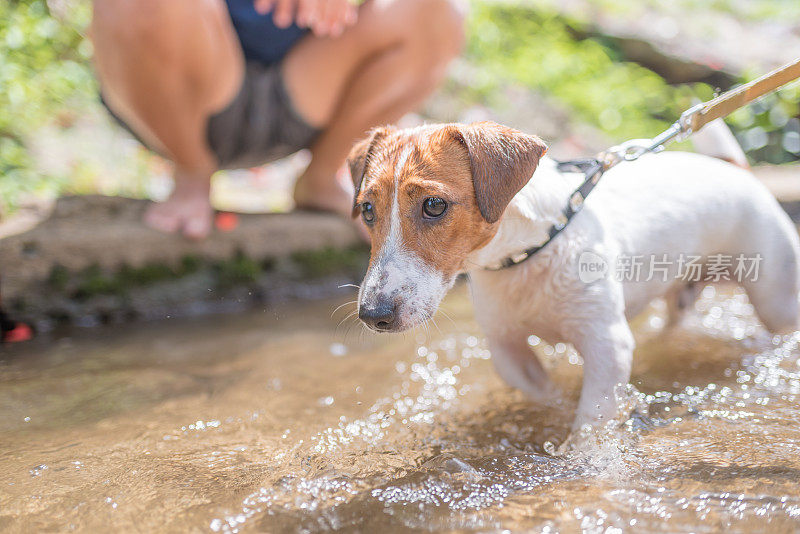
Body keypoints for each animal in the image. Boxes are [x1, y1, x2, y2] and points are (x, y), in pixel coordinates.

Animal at [350, 121, 800, 432]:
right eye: (367, 210)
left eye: (434, 205)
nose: (373, 315)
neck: (529, 252)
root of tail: (737, 169)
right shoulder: (506, 346)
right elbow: (543, 392)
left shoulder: (607, 344)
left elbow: (592, 418)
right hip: (680, 296)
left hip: (776, 298)